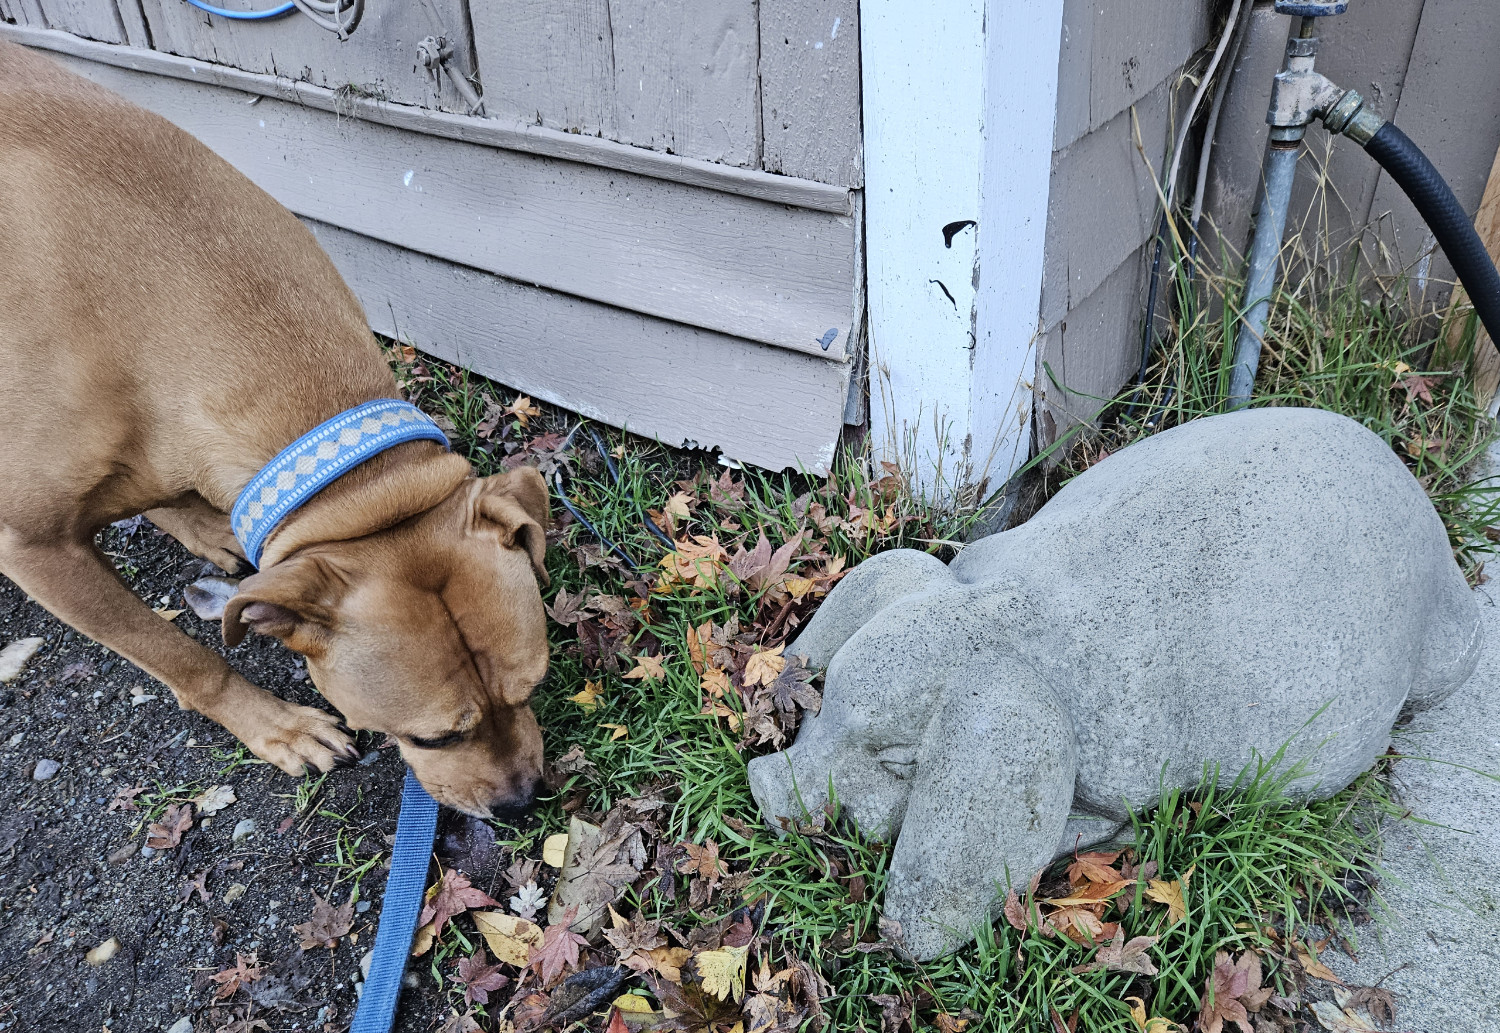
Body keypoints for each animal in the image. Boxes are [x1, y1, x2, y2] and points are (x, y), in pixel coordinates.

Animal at [0, 40, 552, 815]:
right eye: (433, 737)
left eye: (535, 687)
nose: (521, 803)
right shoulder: (35, 548)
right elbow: (177, 654)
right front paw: (278, 727)